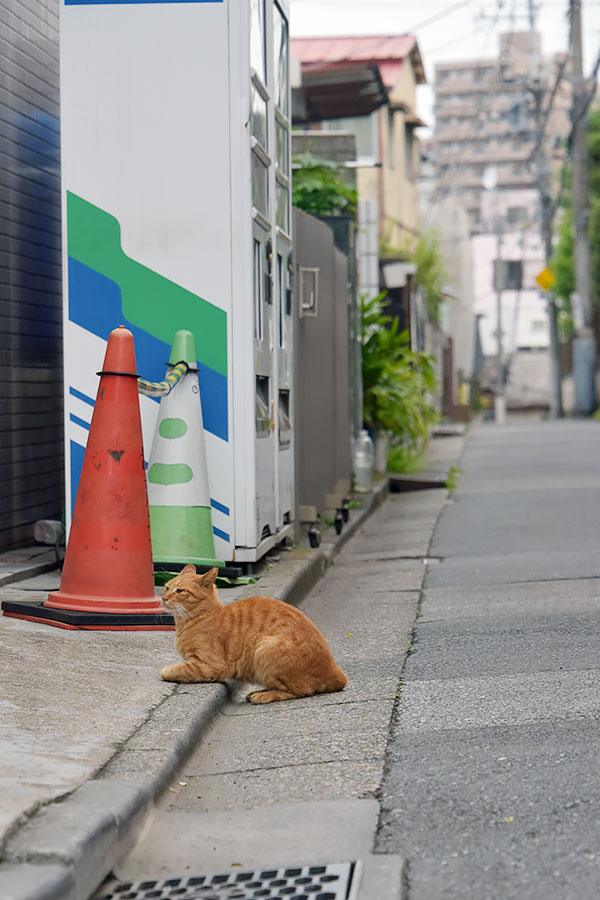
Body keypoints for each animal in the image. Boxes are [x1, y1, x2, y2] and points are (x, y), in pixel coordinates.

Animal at [159, 564, 346, 704]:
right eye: (167, 587)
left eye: (180, 591)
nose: (163, 598)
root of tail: (334, 670)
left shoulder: (211, 665)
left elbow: (172, 670)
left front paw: (168, 670)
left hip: (265, 649)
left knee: (301, 690)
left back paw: (262, 695)